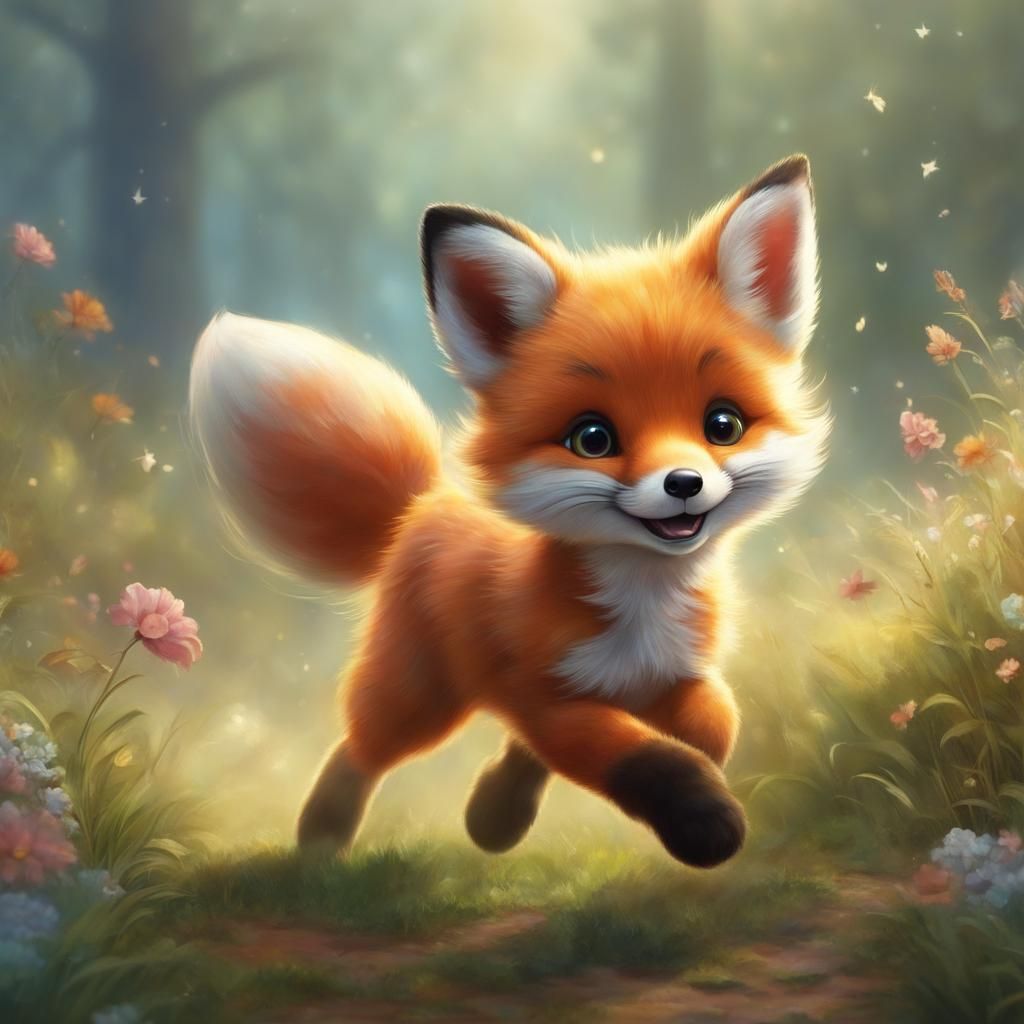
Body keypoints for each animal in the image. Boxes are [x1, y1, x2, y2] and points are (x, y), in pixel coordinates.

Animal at [189, 154, 829, 868]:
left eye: (723, 425)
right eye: (592, 439)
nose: (685, 482)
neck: (642, 607)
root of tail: (421, 504)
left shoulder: (672, 677)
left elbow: (714, 723)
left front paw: (504, 807)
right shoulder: (554, 698)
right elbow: (641, 755)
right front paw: (703, 820)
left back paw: (493, 817)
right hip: (418, 697)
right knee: (362, 747)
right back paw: (322, 836)